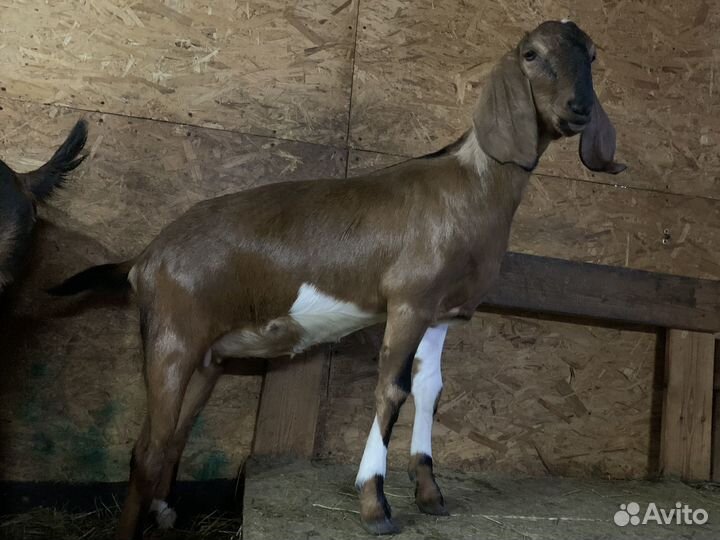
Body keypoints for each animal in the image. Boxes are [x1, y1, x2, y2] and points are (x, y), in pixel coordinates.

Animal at [50, 21, 624, 539]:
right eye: (531, 54)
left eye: (594, 55)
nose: (579, 109)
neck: (469, 185)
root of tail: (145, 257)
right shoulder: (408, 301)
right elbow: (392, 389)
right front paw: (375, 504)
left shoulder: (441, 313)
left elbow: (431, 389)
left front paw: (430, 494)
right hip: (171, 338)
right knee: (147, 451)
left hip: (207, 355)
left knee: (168, 437)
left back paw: (166, 513)